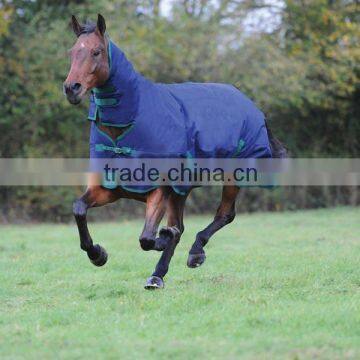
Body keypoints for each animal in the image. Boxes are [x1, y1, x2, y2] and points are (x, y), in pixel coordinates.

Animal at [63, 14, 286, 290]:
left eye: (97, 51)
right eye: (73, 52)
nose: (71, 88)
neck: (126, 128)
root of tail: (252, 106)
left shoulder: (159, 191)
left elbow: (147, 238)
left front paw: (163, 238)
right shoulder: (109, 189)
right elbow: (79, 209)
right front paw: (98, 255)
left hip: (232, 176)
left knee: (224, 215)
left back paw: (193, 254)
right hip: (180, 192)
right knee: (183, 225)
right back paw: (158, 275)